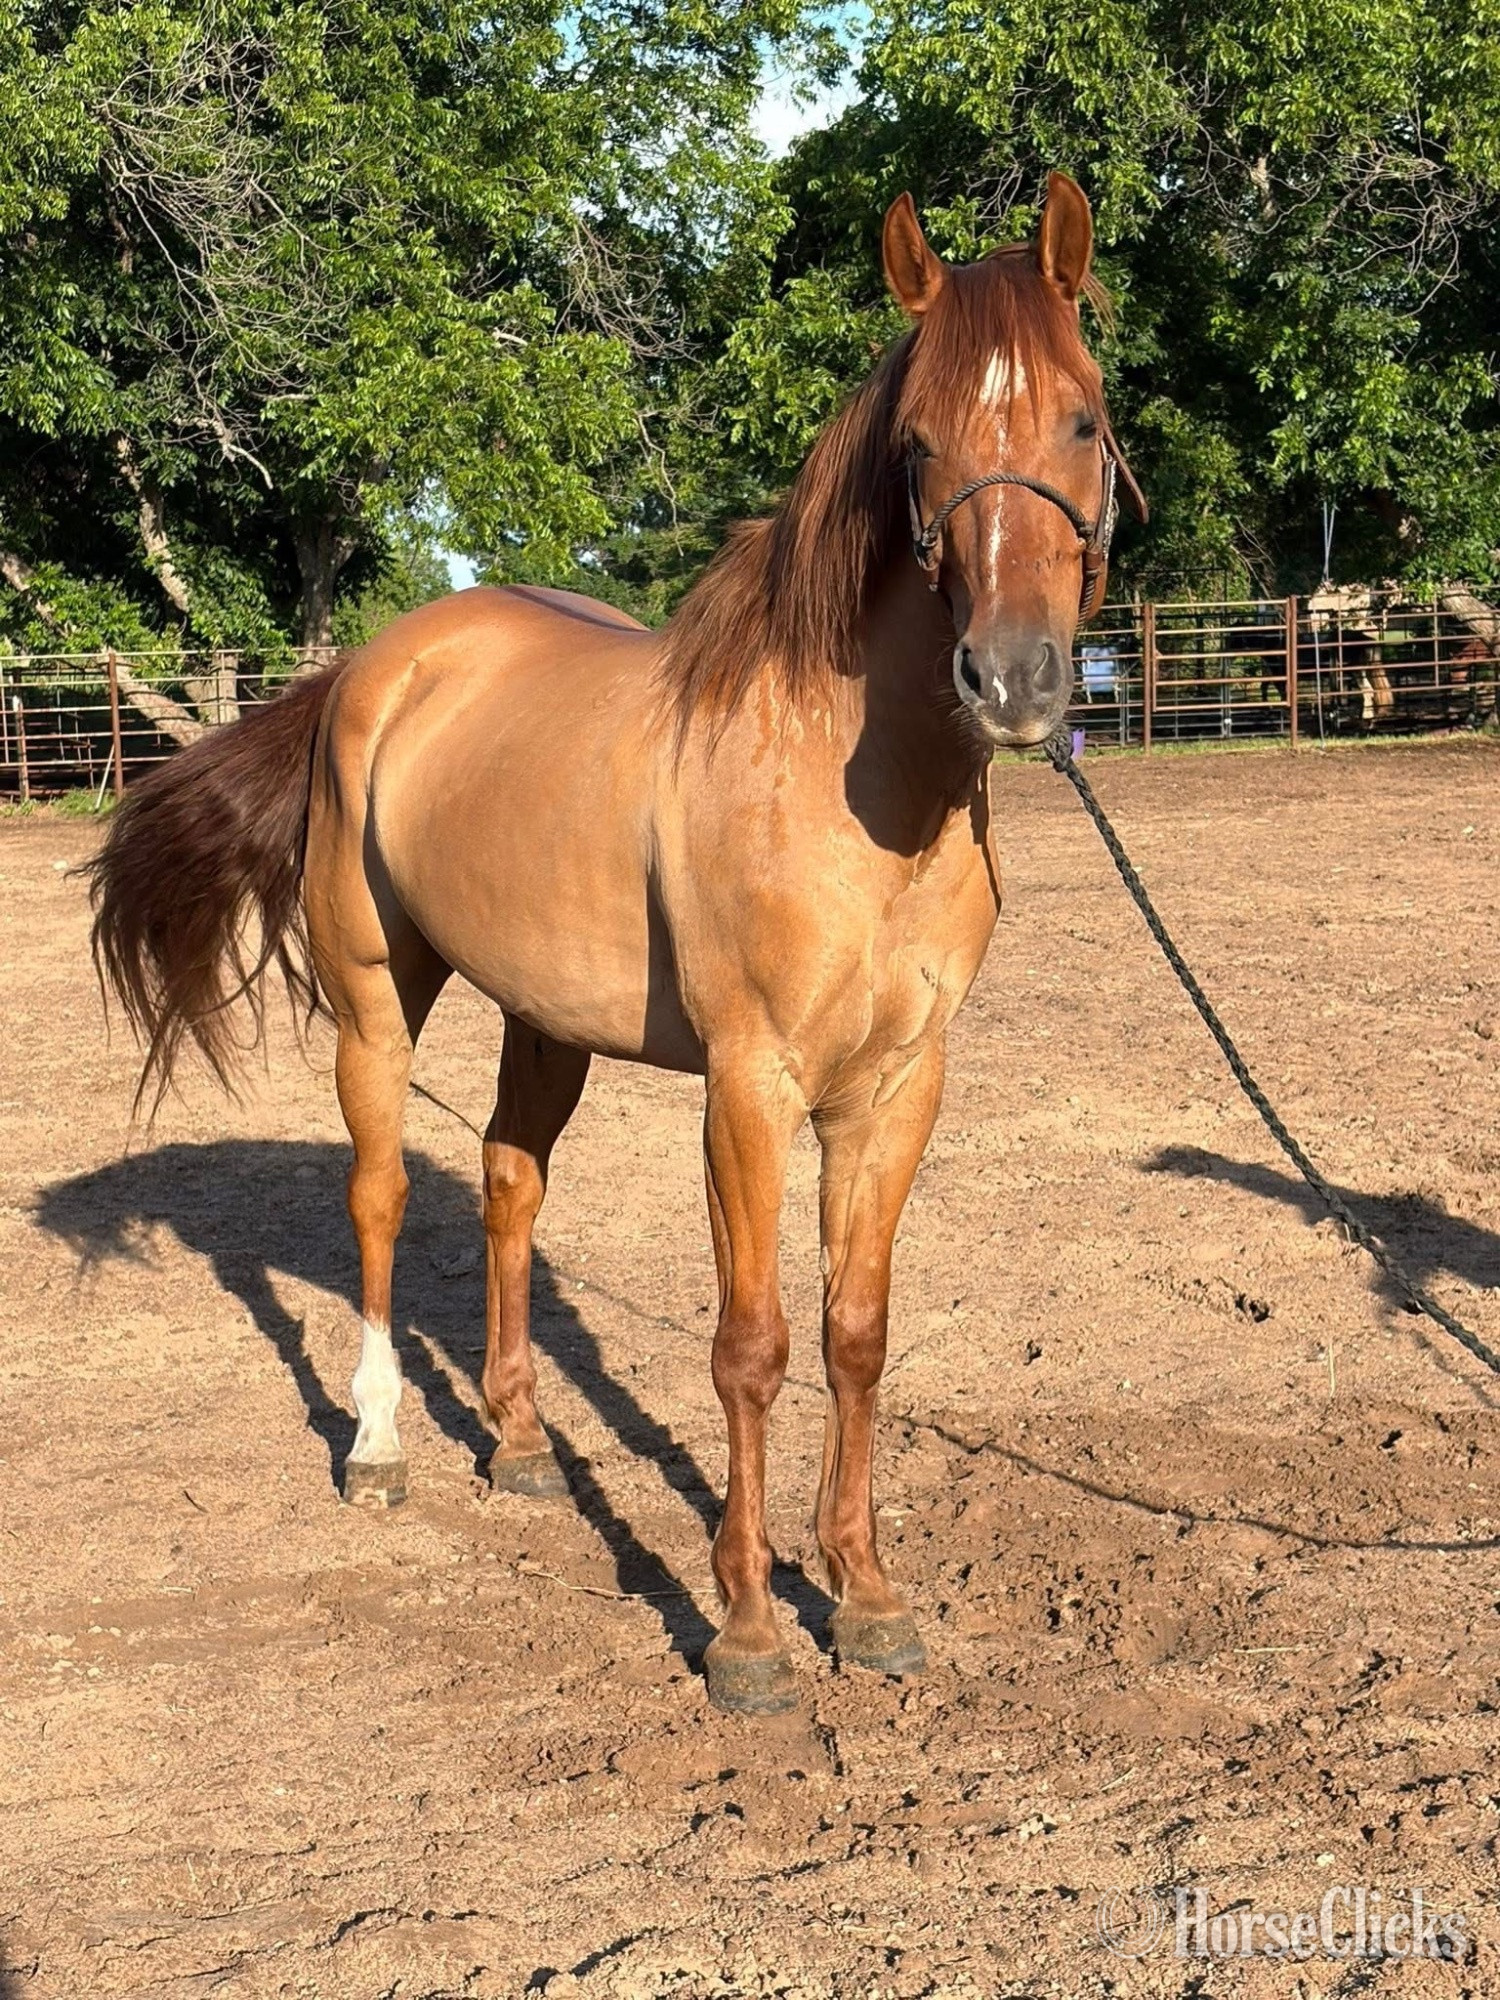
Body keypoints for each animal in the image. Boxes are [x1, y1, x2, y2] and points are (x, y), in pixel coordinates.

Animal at [87, 172, 1144, 1716]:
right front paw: (750, 1629)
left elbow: (858, 1332)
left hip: (547, 1021)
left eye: (1081, 414)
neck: (848, 779)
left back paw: (523, 1445)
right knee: (382, 1197)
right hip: (374, 1000)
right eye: (919, 444)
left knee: (508, 1182)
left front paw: (867, 1596)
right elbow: (753, 1347)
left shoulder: (899, 1089)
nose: (1012, 680)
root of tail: (372, 667)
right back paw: (381, 1447)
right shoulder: (750, 1087)